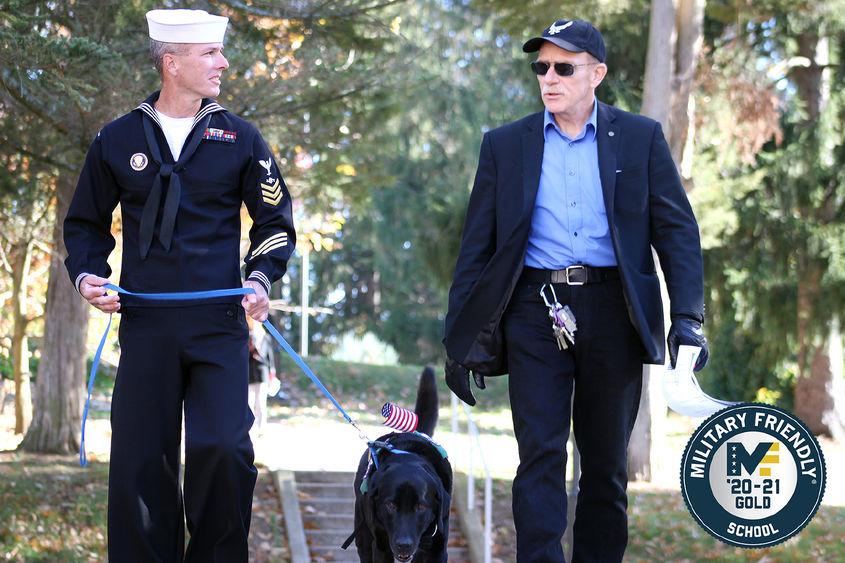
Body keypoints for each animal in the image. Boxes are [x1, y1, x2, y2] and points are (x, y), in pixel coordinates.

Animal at [344, 368, 452, 560]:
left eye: (421, 506)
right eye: (390, 505)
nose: (404, 544)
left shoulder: (439, 547)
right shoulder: (381, 545)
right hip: (363, 534)